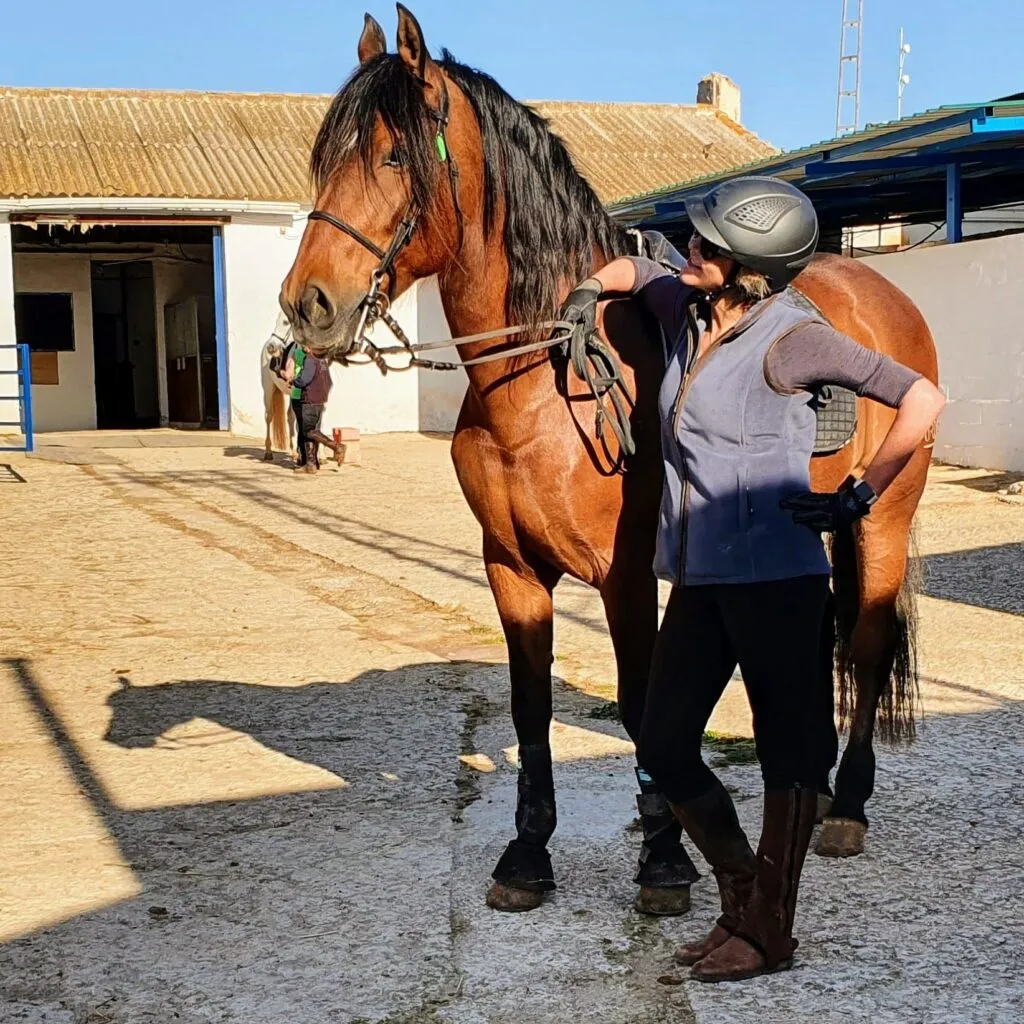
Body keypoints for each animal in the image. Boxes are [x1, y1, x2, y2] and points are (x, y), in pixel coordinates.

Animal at [279, 5, 938, 913]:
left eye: (391, 155)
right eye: (323, 158)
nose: (307, 304)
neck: (545, 386)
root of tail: (885, 294)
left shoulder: (623, 574)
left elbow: (638, 704)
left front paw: (663, 855)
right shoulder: (511, 567)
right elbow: (528, 707)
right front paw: (528, 853)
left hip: (881, 520)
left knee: (865, 649)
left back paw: (847, 808)